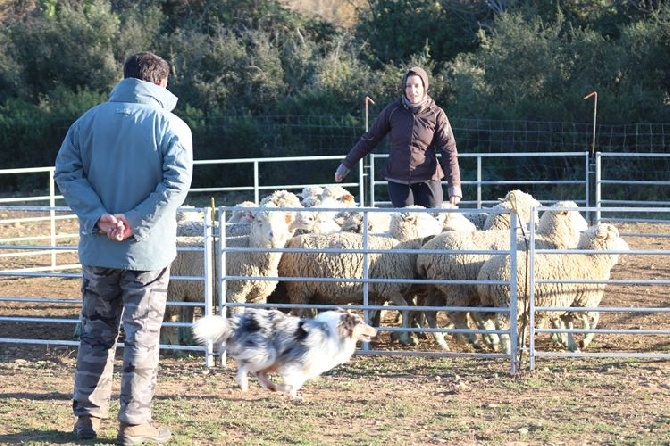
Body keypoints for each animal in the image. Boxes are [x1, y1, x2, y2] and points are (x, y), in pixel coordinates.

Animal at [418, 201, 592, 352]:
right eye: (573, 213)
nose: (586, 226)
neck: (548, 238)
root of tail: (426, 253)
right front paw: (563, 339)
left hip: (438, 288)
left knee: (430, 312)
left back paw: (442, 342)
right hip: (457, 288)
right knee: (455, 313)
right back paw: (476, 340)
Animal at [478, 221, 632, 354]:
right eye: (616, 235)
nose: (628, 247)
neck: (592, 259)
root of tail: (488, 270)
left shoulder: (570, 303)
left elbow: (568, 326)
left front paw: (573, 346)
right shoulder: (584, 301)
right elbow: (595, 318)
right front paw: (584, 341)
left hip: (492, 300)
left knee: (482, 316)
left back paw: (491, 341)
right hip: (508, 300)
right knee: (502, 324)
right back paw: (506, 348)